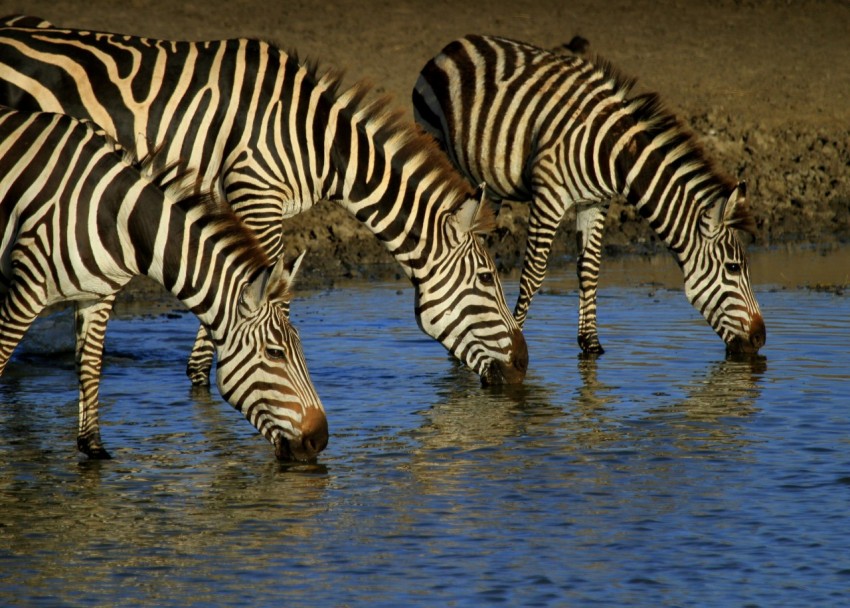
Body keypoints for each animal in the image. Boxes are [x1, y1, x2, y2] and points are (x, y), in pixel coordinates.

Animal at [0, 16, 528, 385]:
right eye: (487, 278)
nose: (524, 366)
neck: (317, 142)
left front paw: (204, 377)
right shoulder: (256, 193)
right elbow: (268, 289)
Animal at [0, 105, 328, 461]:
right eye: (275, 353)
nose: (321, 439)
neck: (120, 220)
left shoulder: (98, 295)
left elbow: (90, 368)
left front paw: (95, 449)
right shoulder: (28, 288)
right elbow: (3, 355)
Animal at [413, 34, 766, 355]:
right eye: (734, 268)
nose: (761, 339)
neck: (615, 153)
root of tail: (457, 43)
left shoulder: (595, 202)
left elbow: (590, 269)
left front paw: (591, 345)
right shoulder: (550, 196)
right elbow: (533, 273)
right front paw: (515, 336)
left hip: (489, 185)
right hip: (439, 147)